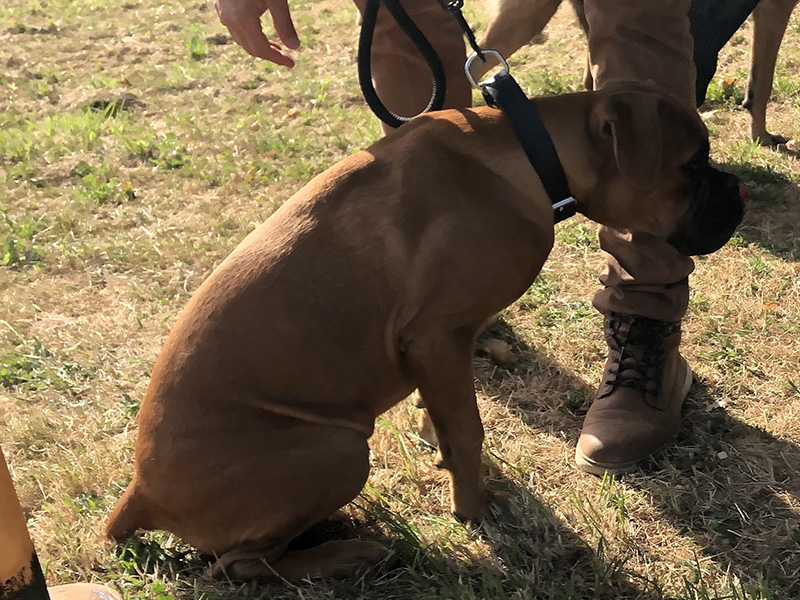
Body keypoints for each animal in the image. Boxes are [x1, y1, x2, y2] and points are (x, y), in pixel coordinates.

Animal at [104, 83, 744, 580]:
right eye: (692, 165)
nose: (737, 191)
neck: (530, 156)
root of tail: (139, 494)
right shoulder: (438, 336)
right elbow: (469, 429)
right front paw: (473, 507)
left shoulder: (435, 351)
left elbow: (442, 414)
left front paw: (440, 451)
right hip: (340, 451)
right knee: (237, 565)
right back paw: (345, 554)